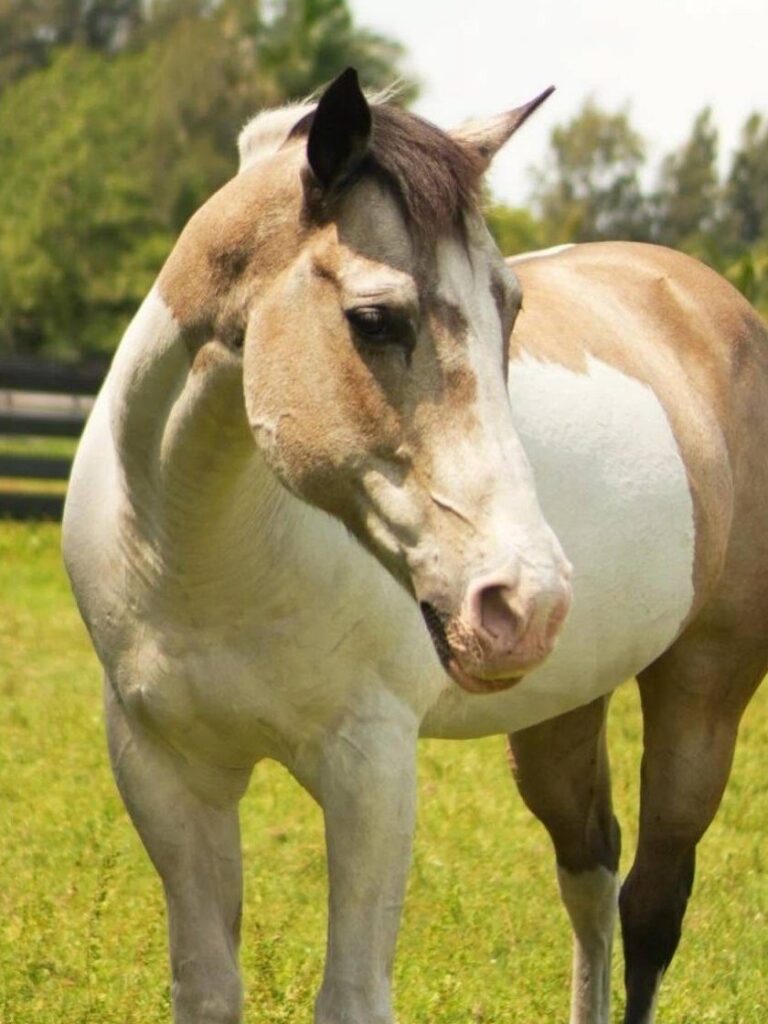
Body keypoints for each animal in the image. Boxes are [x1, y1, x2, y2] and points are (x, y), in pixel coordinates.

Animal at [62, 68, 768, 1024]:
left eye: (511, 307)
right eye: (373, 319)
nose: (525, 598)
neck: (195, 552)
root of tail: (713, 304)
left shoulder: (371, 769)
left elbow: (352, 996)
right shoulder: (166, 772)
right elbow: (206, 987)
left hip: (703, 690)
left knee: (652, 905)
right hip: (560, 707)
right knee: (589, 871)